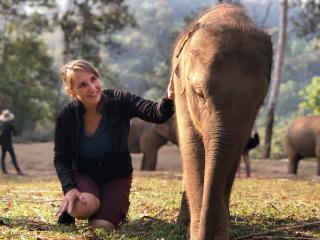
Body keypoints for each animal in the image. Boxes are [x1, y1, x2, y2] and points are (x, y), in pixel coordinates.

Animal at [171, 4, 272, 240]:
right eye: (199, 94)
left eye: (259, 103)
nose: (205, 234)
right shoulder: (181, 90)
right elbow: (191, 146)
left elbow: (233, 153)